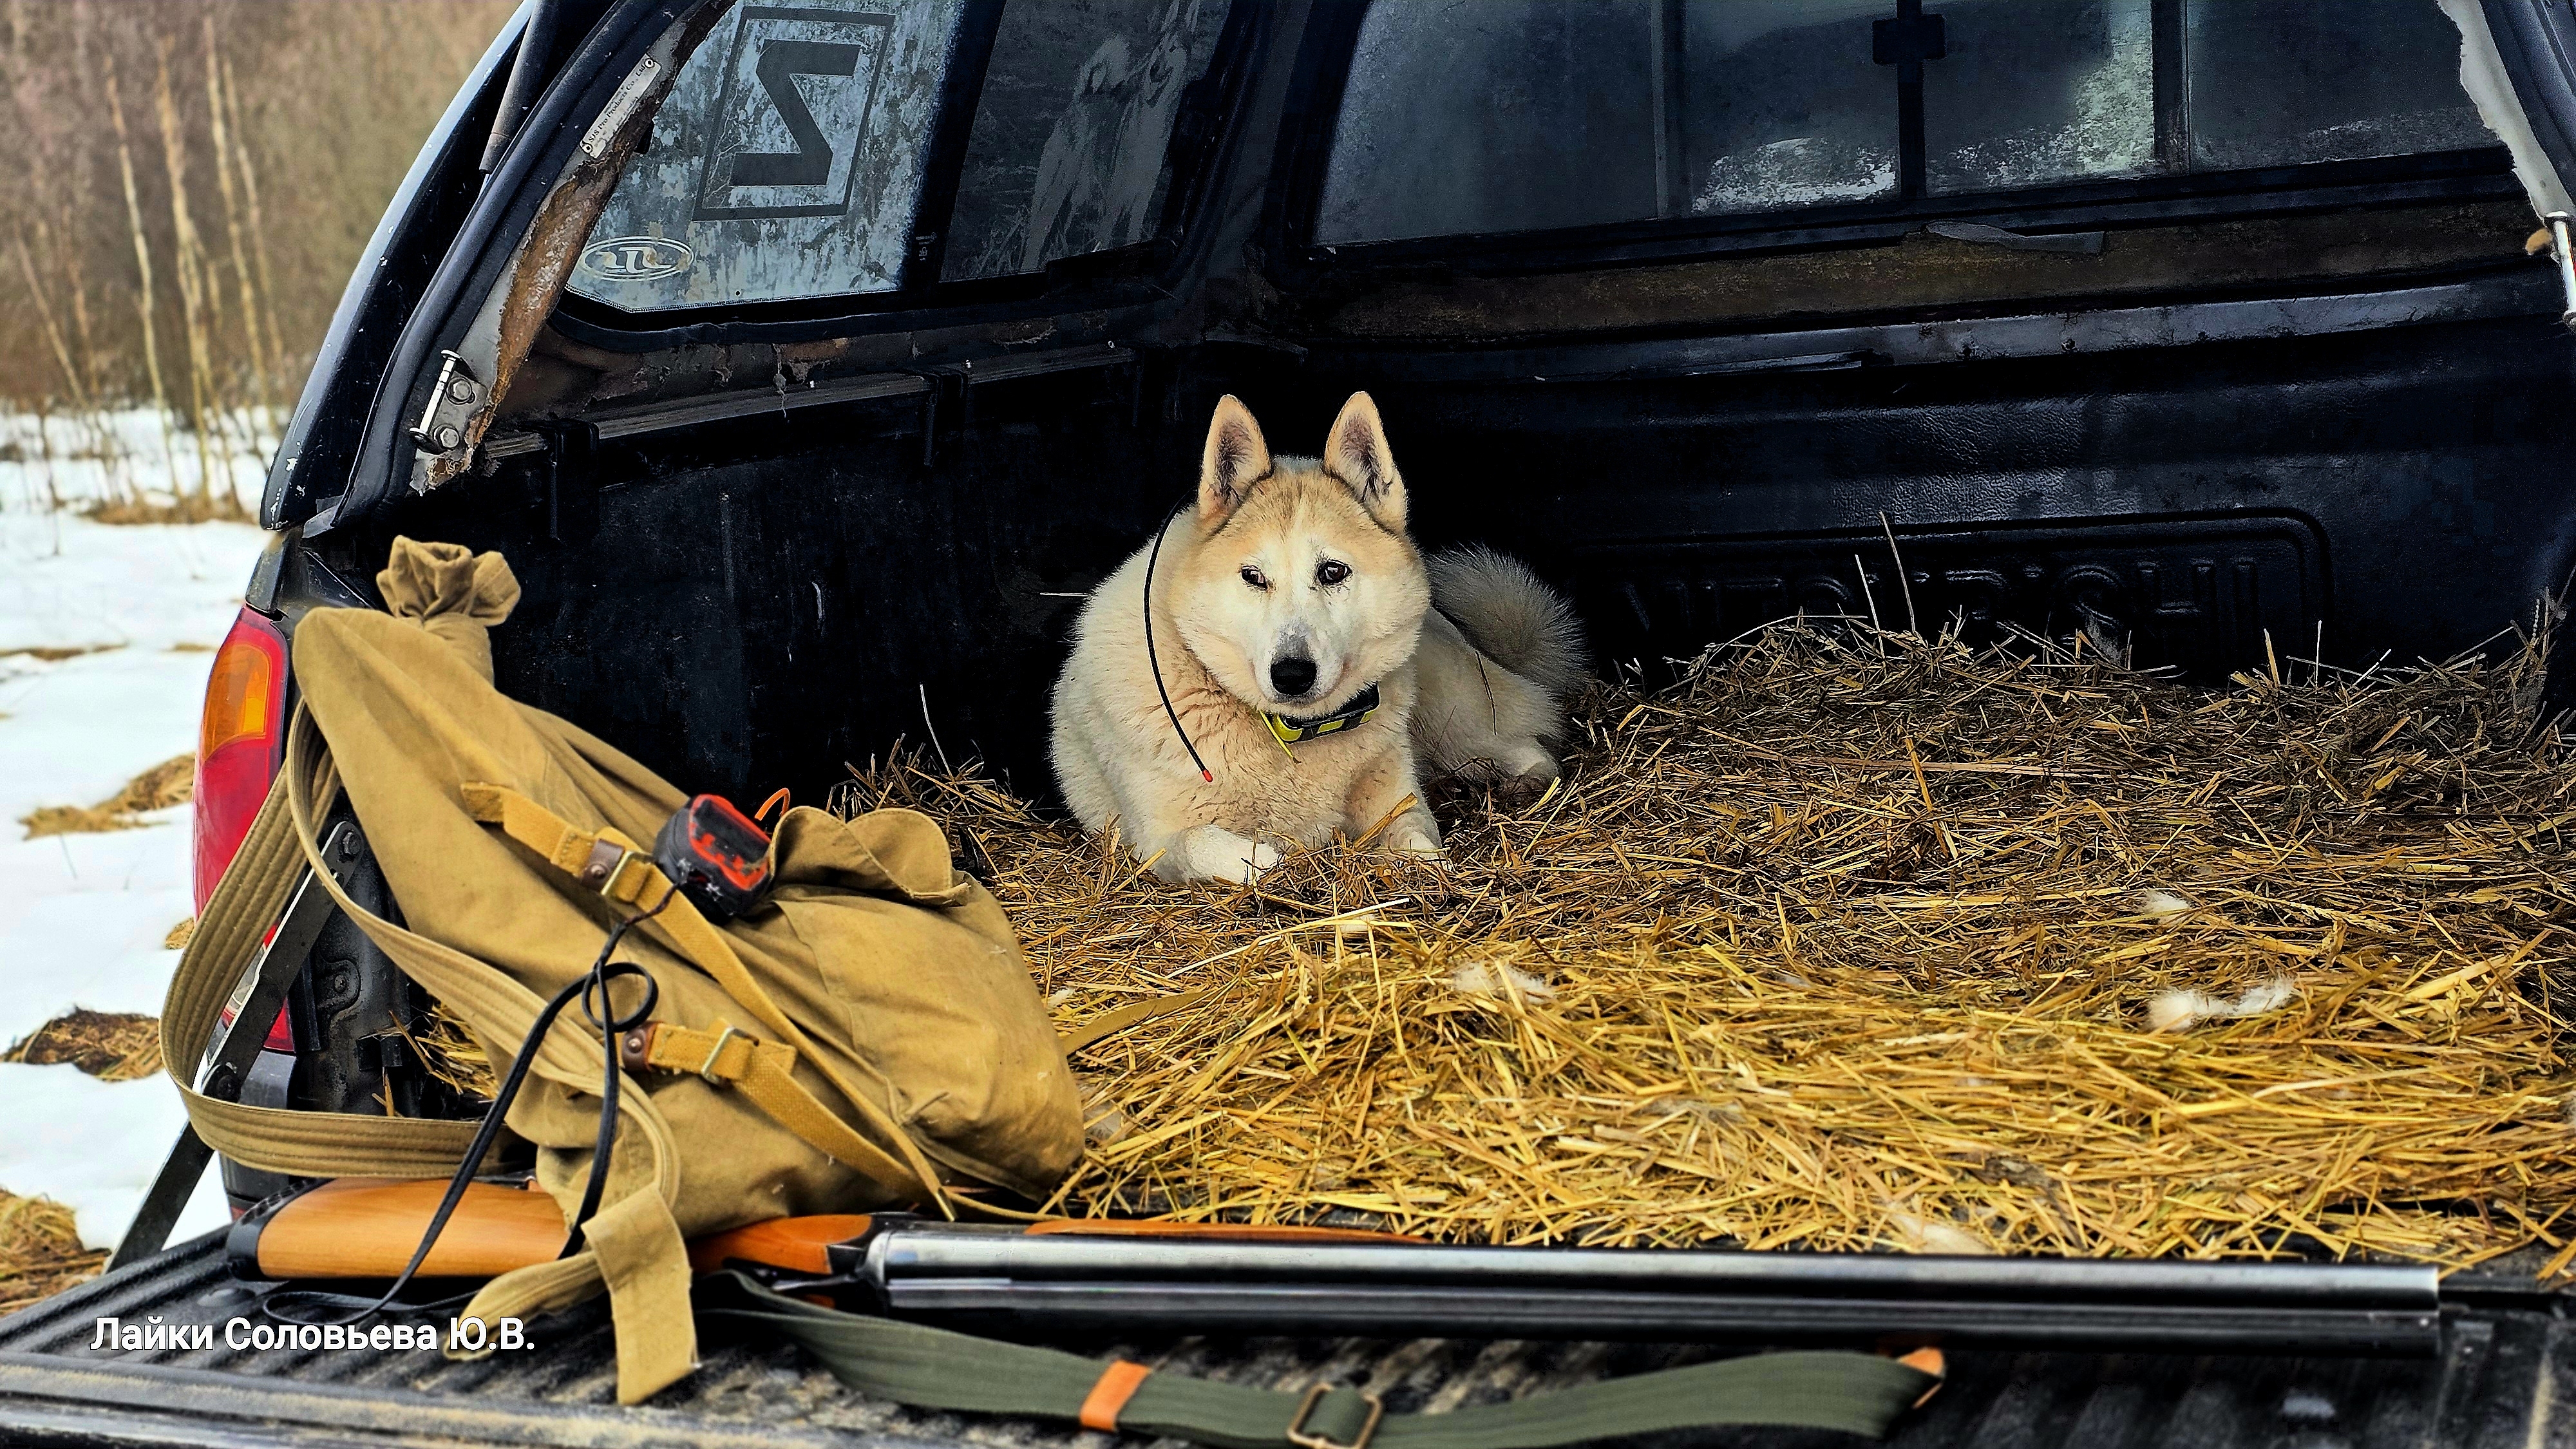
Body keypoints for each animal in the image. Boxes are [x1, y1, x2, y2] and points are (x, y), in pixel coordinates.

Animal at [1051, 386, 1587, 882]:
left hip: (1452, 720)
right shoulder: (1155, 843)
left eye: (1333, 572)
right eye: (1253, 577)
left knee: (1529, 747)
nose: (1292, 675)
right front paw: (1276, 859)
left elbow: (1419, 839)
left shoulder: (1398, 802)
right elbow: (1217, 847)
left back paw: (1524, 784)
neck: (1292, 737)